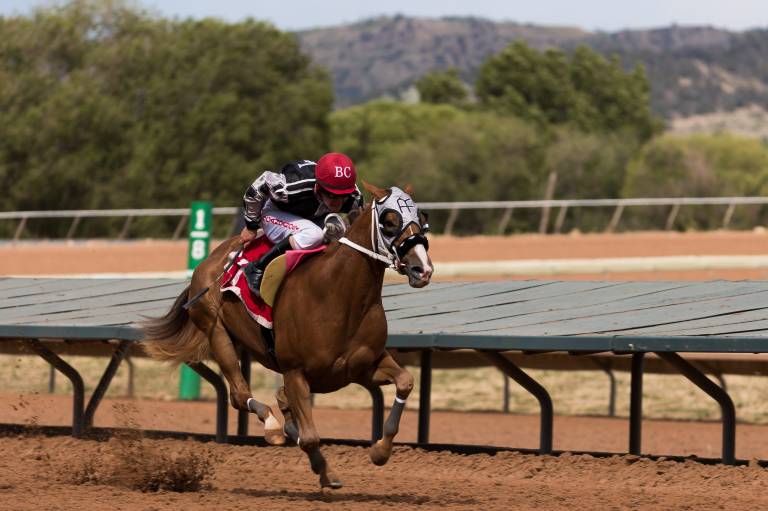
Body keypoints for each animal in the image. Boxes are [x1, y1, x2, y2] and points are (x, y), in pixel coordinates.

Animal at [141, 182, 433, 488]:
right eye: (389, 222)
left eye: (421, 218)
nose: (422, 270)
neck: (339, 294)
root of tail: (210, 261)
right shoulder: (295, 372)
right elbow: (310, 436)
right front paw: (325, 470)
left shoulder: (360, 367)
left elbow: (405, 382)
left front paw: (380, 451)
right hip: (217, 332)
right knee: (239, 394)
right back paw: (271, 425)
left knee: (276, 400)